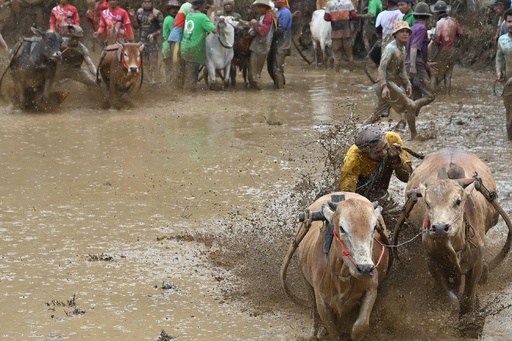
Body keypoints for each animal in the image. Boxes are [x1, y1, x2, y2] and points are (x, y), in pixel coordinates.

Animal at [280, 191, 388, 340]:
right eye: (342, 228)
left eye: (373, 229)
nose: (365, 268)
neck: (343, 275)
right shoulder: (322, 302)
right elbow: (333, 329)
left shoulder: (371, 289)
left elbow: (360, 326)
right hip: (306, 282)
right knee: (313, 309)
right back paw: (314, 333)